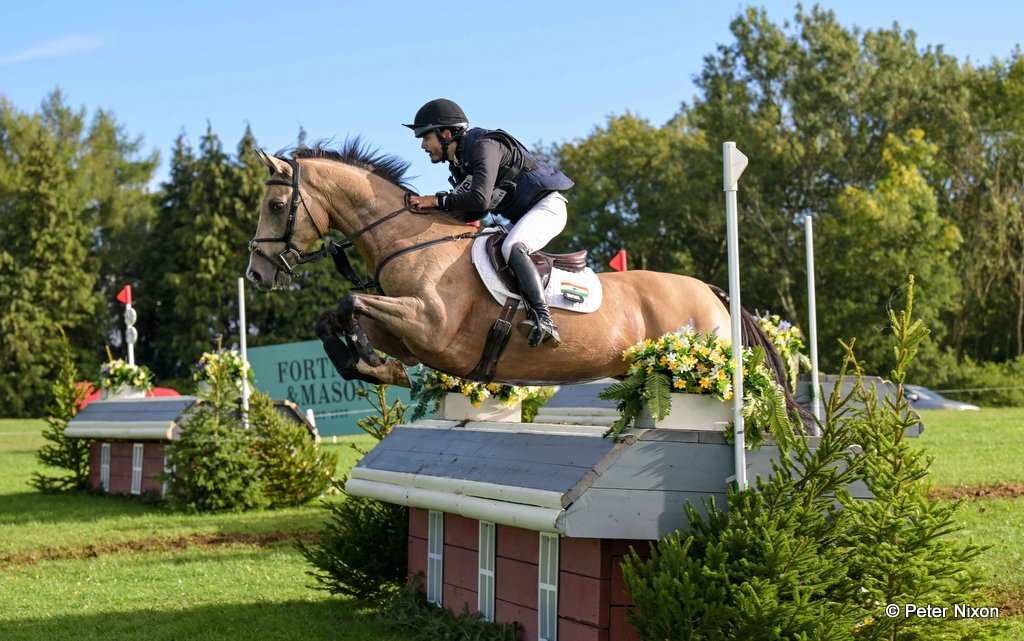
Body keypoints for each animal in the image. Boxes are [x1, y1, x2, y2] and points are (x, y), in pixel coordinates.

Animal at [245, 141, 787, 394]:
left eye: (276, 206)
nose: (256, 275)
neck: (408, 240)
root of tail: (712, 291)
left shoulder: (430, 324)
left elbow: (350, 300)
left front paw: (368, 362)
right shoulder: (407, 333)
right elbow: (335, 317)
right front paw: (370, 365)